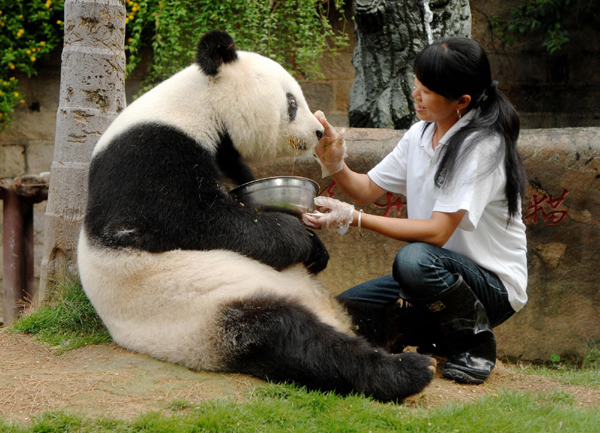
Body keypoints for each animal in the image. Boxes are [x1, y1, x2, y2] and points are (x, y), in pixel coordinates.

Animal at [78, 30, 436, 402]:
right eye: (291, 102)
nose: (318, 132)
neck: (199, 107)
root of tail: (330, 314)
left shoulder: (227, 156)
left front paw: (317, 248)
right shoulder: (146, 156)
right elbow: (194, 219)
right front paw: (297, 238)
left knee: (363, 312)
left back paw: (410, 326)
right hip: (212, 312)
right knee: (294, 338)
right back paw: (407, 369)